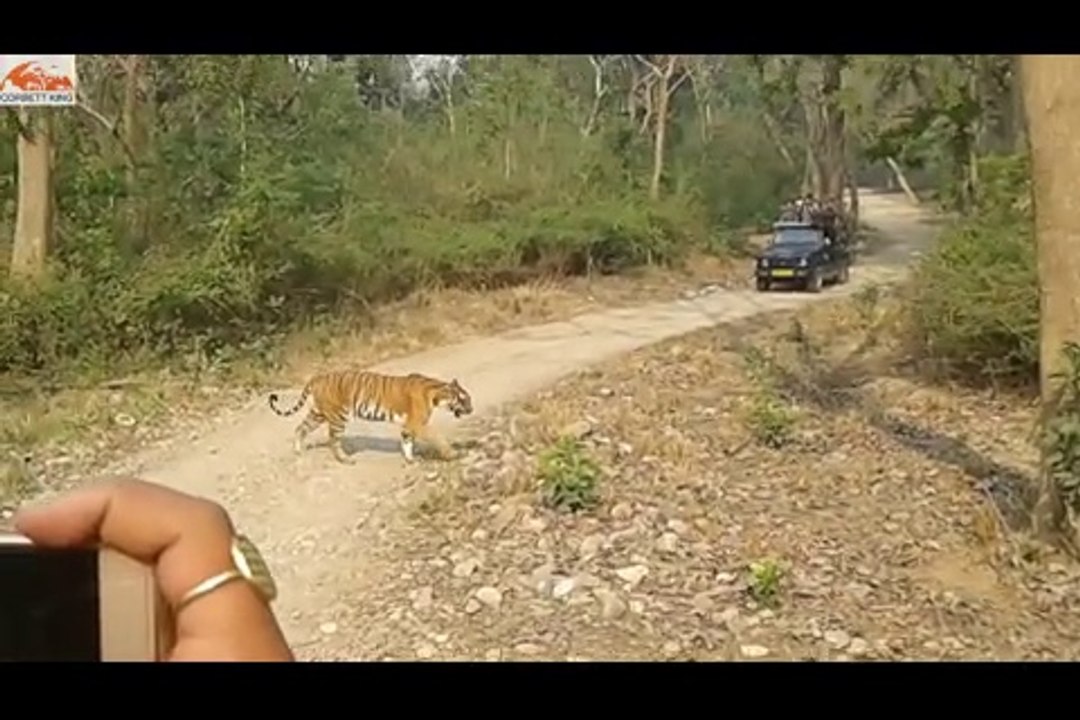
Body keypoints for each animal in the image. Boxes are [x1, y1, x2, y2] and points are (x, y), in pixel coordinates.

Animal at [268, 369, 474, 464]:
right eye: (464, 400)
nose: (471, 410)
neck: (436, 395)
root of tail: (317, 377)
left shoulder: (407, 427)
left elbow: (407, 442)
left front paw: (410, 460)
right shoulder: (417, 424)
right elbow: (438, 438)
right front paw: (452, 454)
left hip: (318, 413)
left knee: (300, 428)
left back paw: (298, 451)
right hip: (337, 416)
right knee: (333, 439)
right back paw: (346, 460)